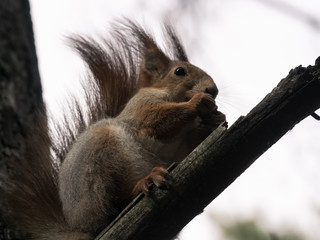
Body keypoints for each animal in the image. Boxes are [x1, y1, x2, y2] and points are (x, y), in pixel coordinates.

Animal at [0, 19, 226, 239]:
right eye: (179, 72)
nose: (212, 90)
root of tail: (79, 225)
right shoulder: (139, 108)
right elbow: (156, 120)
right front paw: (198, 102)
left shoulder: (181, 147)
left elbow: (189, 146)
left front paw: (216, 120)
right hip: (102, 161)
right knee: (114, 206)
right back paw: (144, 183)